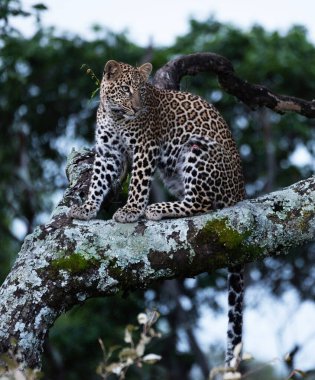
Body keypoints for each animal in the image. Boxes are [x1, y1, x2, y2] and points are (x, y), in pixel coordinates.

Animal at [69, 59, 247, 366]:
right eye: (126, 89)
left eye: (142, 90)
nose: (137, 108)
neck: (115, 116)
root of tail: (242, 191)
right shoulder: (107, 153)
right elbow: (97, 182)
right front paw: (88, 208)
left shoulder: (145, 147)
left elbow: (139, 183)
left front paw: (131, 210)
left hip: (196, 149)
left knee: (201, 202)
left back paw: (156, 209)